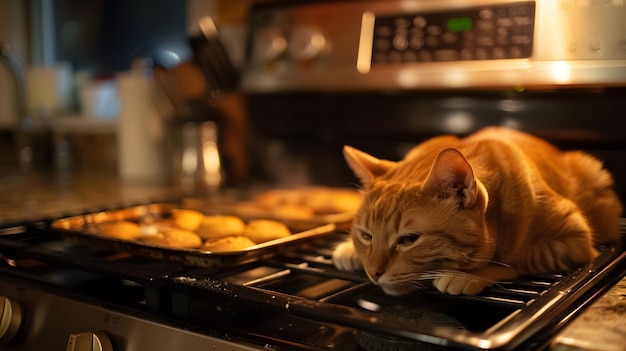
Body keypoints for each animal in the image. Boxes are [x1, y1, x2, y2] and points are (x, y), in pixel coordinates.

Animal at [332, 127, 620, 296]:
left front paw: (471, 274)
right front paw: (349, 248)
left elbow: (517, 258)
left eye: (409, 240)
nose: (373, 273)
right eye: (366, 236)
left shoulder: (575, 239)